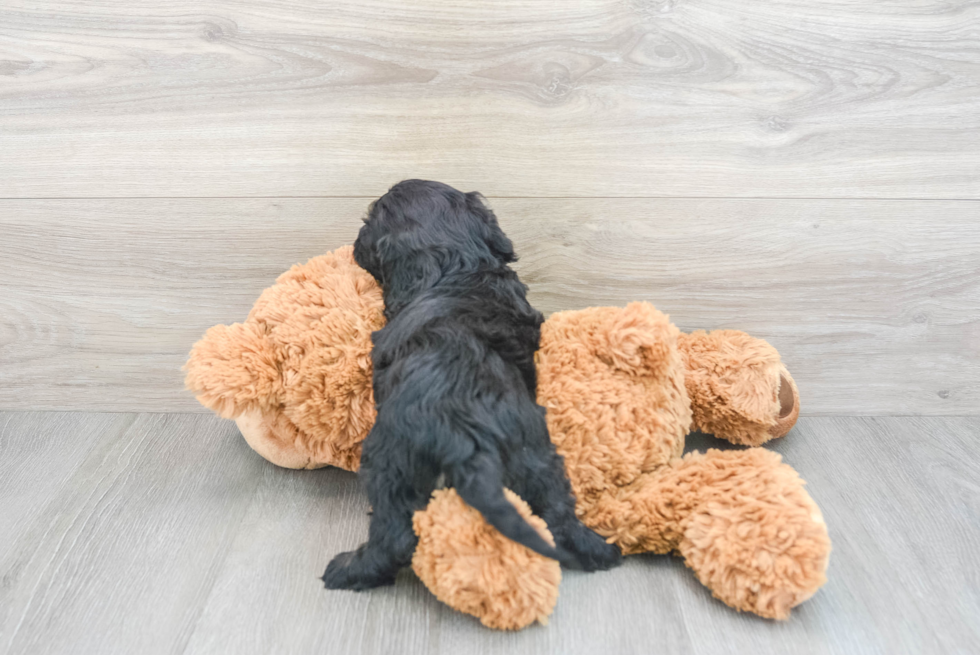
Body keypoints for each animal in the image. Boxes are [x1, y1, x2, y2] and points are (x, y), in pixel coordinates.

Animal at [326, 179, 624, 588]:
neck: (459, 266)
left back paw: (348, 569)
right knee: (557, 515)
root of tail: (466, 436)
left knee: (395, 534)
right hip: (536, 455)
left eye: (370, 219)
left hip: (390, 460)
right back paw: (600, 551)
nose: (354, 244)